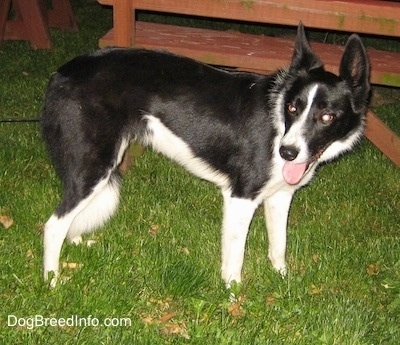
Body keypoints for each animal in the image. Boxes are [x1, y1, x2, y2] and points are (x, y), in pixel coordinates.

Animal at [42, 24, 370, 286]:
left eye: (327, 116)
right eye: (293, 108)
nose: (286, 152)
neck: (278, 122)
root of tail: (61, 72)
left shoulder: (280, 196)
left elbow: (279, 245)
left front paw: (282, 279)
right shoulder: (240, 197)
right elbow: (235, 255)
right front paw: (233, 294)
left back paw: (75, 242)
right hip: (95, 165)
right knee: (53, 224)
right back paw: (52, 280)